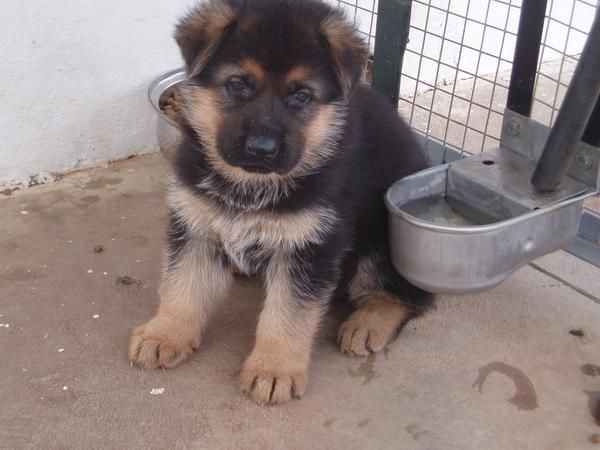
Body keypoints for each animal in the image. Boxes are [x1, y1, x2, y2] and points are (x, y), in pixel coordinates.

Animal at [129, 0, 434, 406]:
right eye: (238, 84)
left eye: (301, 95)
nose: (262, 148)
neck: (251, 184)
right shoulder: (196, 224)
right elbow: (183, 285)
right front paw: (164, 333)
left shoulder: (311, 246)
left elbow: (287, 315)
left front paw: (273, 370)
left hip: (382, 236)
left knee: (408, 296)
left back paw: (368, 322)